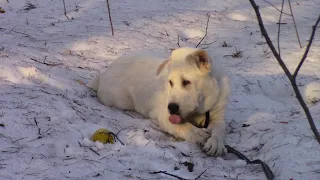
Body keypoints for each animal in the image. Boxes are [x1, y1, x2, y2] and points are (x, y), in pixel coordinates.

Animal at [88, 47, 230, 156]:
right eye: (170, 82)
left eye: (186, 82)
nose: (172, 107)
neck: (201, 108)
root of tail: (103, 74)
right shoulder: (164, 115)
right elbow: (182, 126)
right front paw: (197, 133)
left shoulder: (218, 116)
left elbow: (219, 129)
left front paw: (216, 143)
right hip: (121, 100)